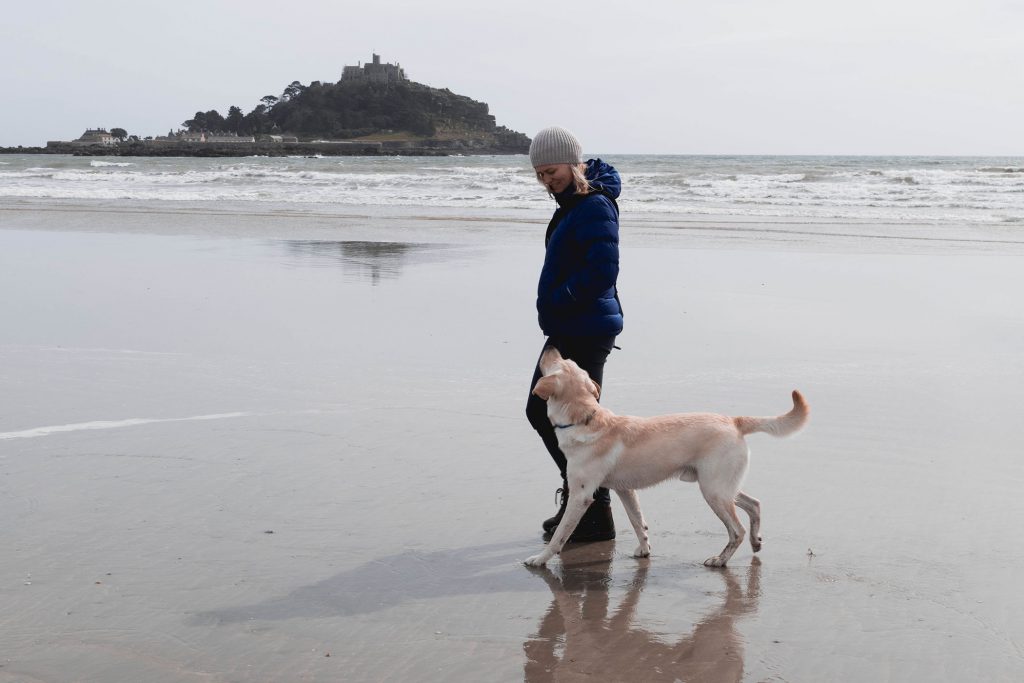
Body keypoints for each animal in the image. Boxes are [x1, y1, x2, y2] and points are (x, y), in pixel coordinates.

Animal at [528, 350, 806, 569]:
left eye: (559, 360)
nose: (551, 346)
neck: (585, 419)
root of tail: (734, 421)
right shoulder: (625, 490)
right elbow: (638, 522)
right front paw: (644, 550)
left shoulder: (580, 495)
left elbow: (560, 536)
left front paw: (540, 559)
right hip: (722, 487)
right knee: (755, 504)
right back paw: (756, 542)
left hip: (713, 491)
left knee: (737, 530)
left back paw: (720, 560)